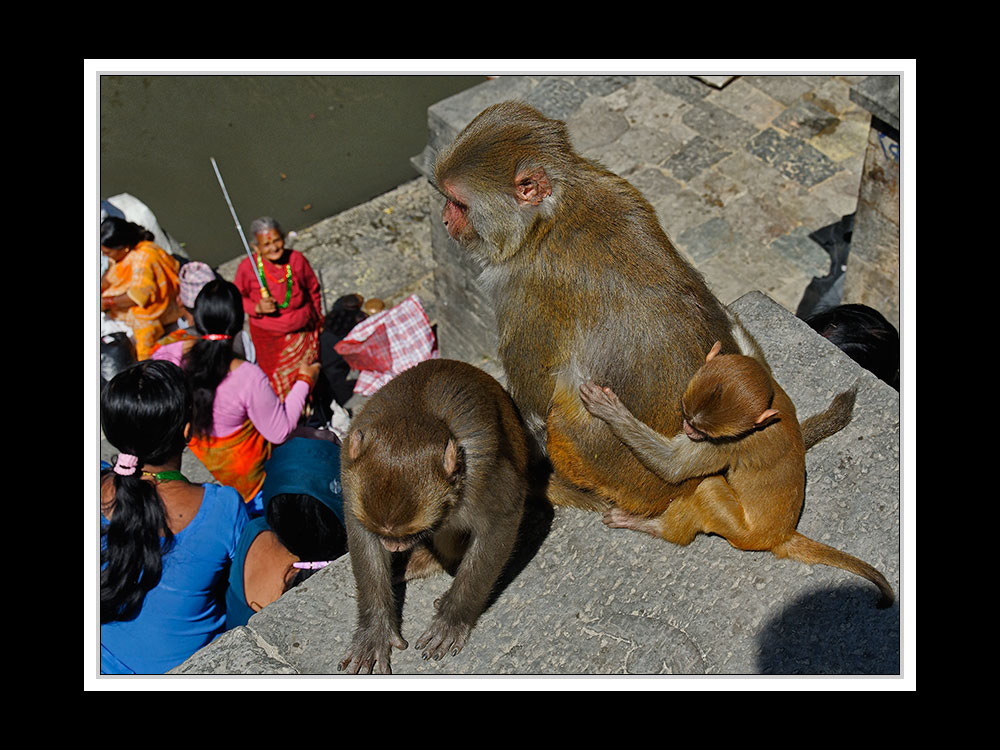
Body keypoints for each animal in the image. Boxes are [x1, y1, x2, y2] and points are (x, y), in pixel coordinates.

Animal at [338, 358, 532, 676]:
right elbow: (362, 537)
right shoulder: (348, 474)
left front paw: (453, 618)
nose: (394, 546)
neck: (415, 412)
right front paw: (374, 631)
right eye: (384, 535)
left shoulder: (482, 476)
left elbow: (502, 521)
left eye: (414, 533)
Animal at [584, 342, 896, 612]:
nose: (688, 429)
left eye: (702, 429)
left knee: (707, 487)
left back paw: (655, 527)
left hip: (740, 531)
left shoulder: (723, 444)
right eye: (685, 413)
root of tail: (781, 534)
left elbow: (672, 467)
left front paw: (611, 412)